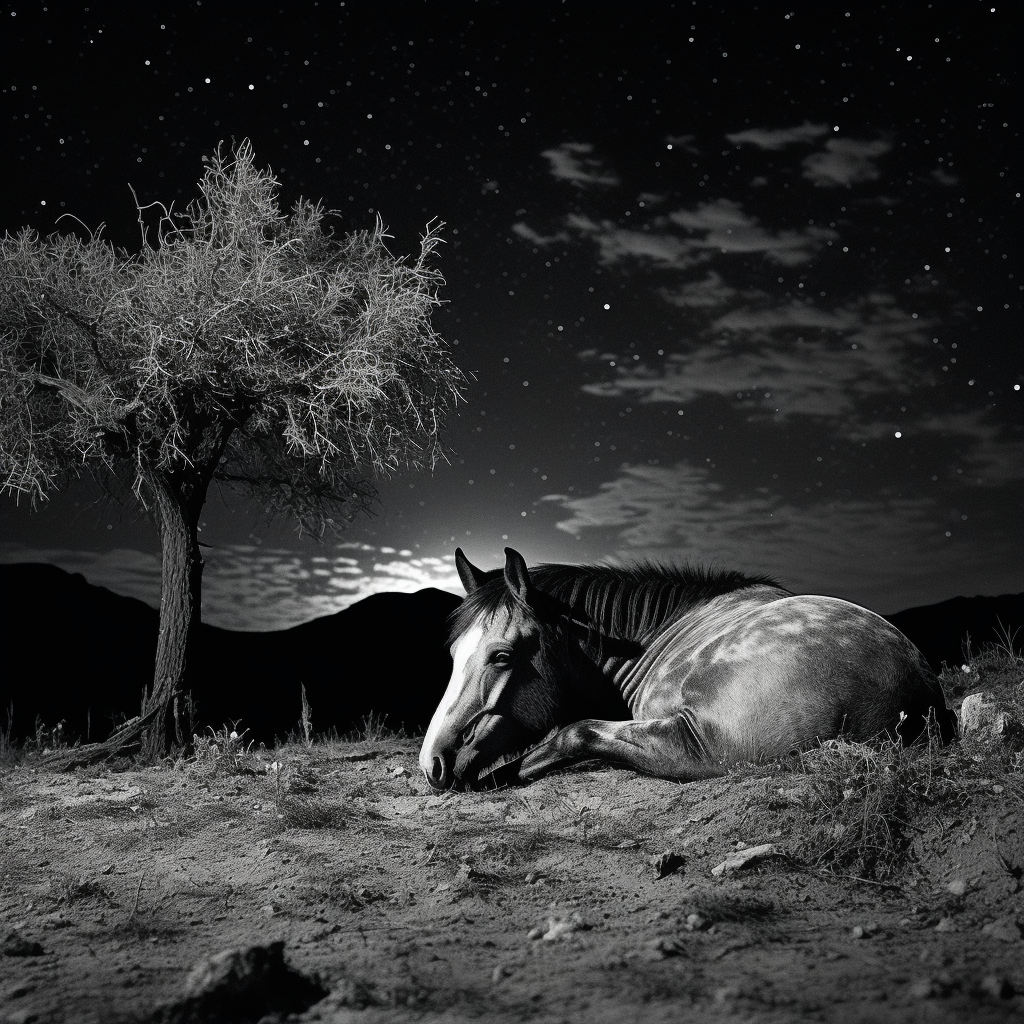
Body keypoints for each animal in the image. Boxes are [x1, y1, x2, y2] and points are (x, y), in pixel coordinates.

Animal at [413, 544, 950, 790]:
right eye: (454, 655)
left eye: (501, 656)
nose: (432, 762)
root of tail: (914, 692)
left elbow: (567, 734)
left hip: (697, 747)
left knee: (577, 733)